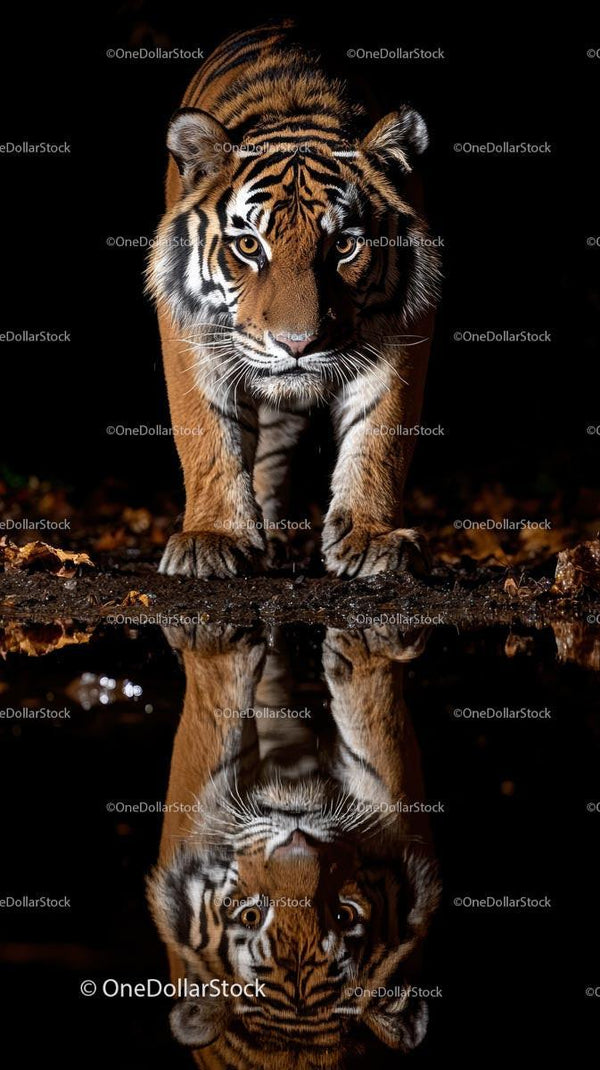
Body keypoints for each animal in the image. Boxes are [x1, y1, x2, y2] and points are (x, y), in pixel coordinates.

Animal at [148, 20, 440, 579]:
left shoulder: (402, 328)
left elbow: (381, 435)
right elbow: (208, 433)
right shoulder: (191, 328)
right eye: (248, 245)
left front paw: (372, 537)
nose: (297, 345)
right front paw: (213, 537)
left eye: (343, 246)